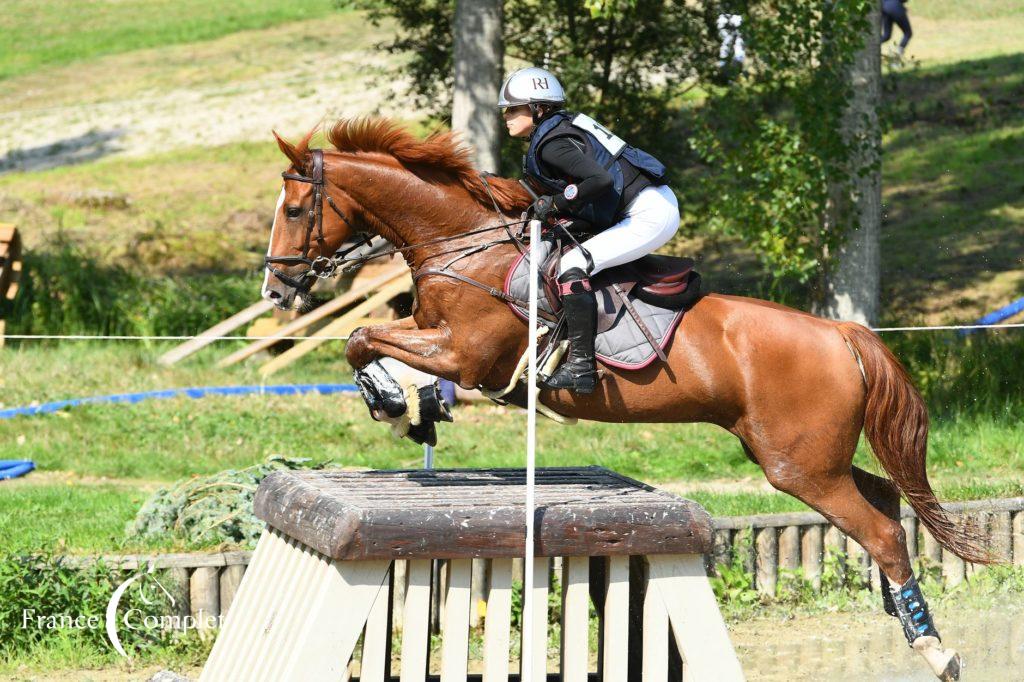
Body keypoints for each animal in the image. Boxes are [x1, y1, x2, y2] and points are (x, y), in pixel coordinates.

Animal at [264, 119, 983, 675]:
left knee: (882, 529)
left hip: (798, 466)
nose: (275, 289)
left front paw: (391, 402)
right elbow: (369, 341)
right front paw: (402, 406)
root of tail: (841, 333)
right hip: (801, 455)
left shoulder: (465, 355)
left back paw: (934, 649)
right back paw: (903, 616)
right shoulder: (436, 338)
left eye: (295, 211)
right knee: (884, 498)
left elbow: (361, 338)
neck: (463, 247)